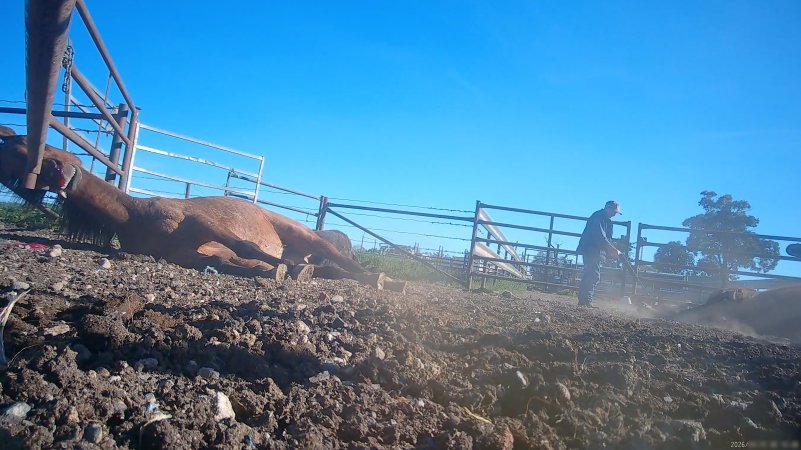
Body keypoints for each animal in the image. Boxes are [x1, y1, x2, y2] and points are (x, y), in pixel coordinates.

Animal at [0, 127, 405, 291]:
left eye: (22, 144)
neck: (137, 216)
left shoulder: (203, 223)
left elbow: (247, 247)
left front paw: (280, 269)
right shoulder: (195, 255)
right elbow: (237, 263)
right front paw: (276, 271)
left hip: (300, 233)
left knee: (342, 261)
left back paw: (383, 280)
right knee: (331, 270)